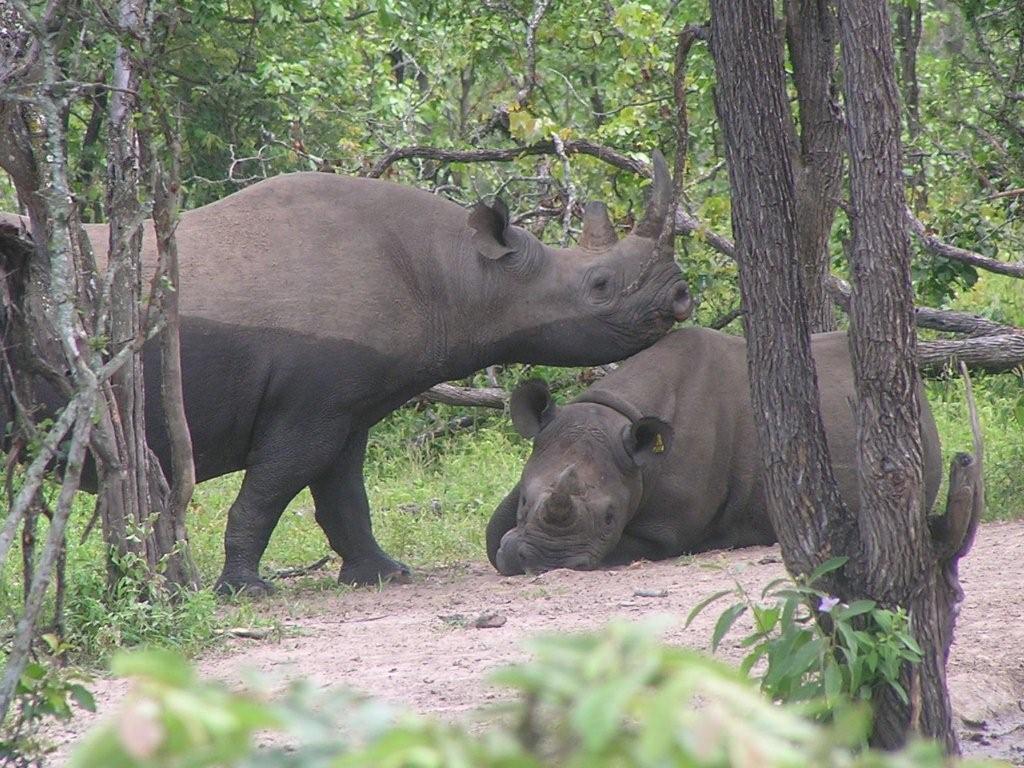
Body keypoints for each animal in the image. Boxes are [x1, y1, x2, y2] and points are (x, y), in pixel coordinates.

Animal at [0, 151, 692, 593]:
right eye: (599, 286)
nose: (682, 295)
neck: (463, 275)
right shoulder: (312, 400)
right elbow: (272, 488)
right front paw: (244, 591)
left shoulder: (347, 402)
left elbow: (342, 494)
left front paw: (384, 576)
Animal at [487, 325, 942, 577]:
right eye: (524, 502)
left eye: (610, 518)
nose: (544, 562)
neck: (613, 415)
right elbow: (493, 535)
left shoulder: (666, 530)